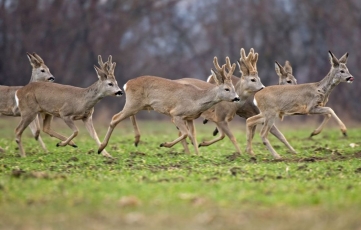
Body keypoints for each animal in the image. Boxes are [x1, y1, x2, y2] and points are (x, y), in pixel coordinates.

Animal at [97, 56, 240, 155]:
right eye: (227, 89)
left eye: (234, 88)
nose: (237, 98)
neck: (196, 99)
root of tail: (126, 84)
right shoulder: (176, 113)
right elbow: (185, 134)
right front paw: (164, 144)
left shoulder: (189, 118)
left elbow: (192, 135)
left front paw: (197, 154)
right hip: (133, 103)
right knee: (115, 118)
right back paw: (101, 148)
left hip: (138, 105)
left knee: (127, 116)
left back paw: (136, 140)